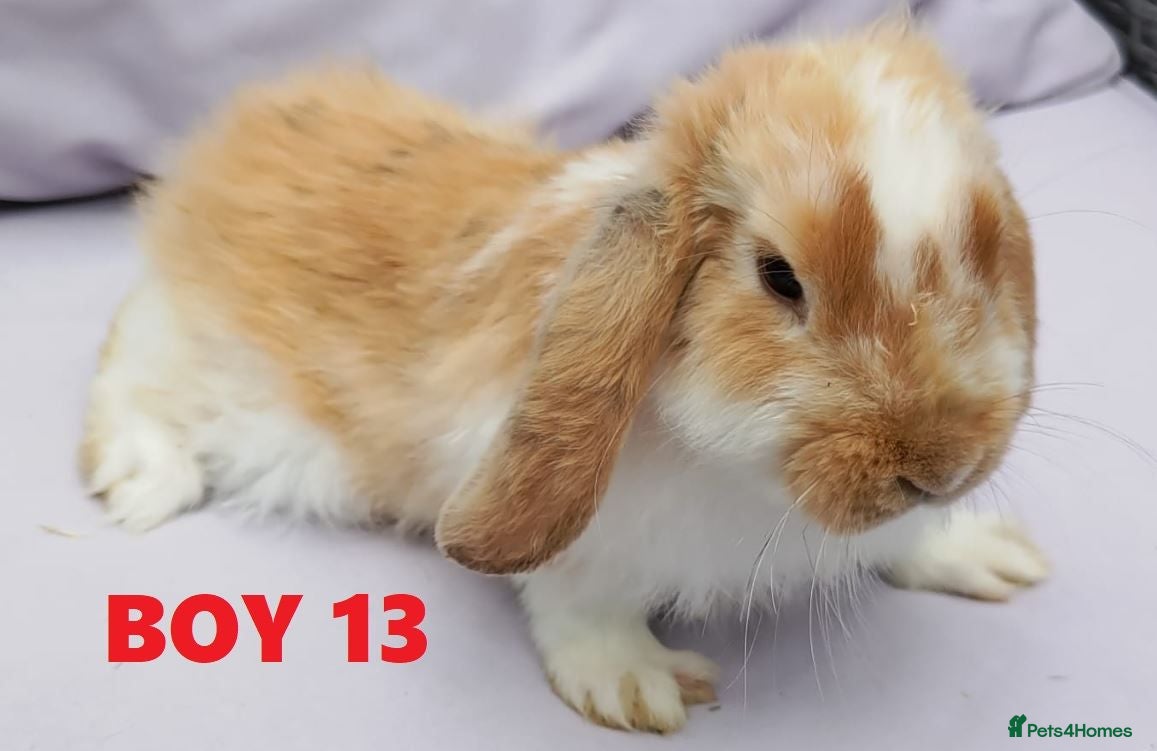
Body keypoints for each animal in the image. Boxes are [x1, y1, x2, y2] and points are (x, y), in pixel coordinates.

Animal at [80, 21, 1049, 733]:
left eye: (986, 250)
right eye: (779, 277)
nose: (939, 467)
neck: (750, 480)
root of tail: (229, 135)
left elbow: (908, 543)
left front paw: (990, 552)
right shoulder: (580, 542)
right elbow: (580, 605)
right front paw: (636, 685)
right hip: (222, 387)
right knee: (131, 361)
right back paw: (139, 482)